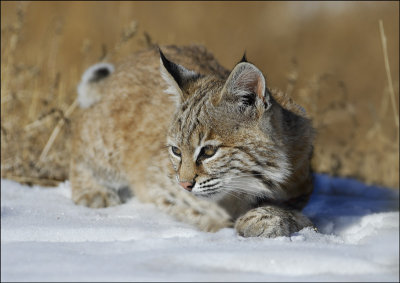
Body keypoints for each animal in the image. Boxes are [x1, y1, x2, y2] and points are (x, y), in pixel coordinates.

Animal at [72, 45, 316, 239]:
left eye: (208, 152)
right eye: (176, 151)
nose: (184, 184)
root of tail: (130, 61)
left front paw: (271, 219)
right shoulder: (156, 178)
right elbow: (194, 206)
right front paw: (222, 221)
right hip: (105, 143)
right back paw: (94, 193)